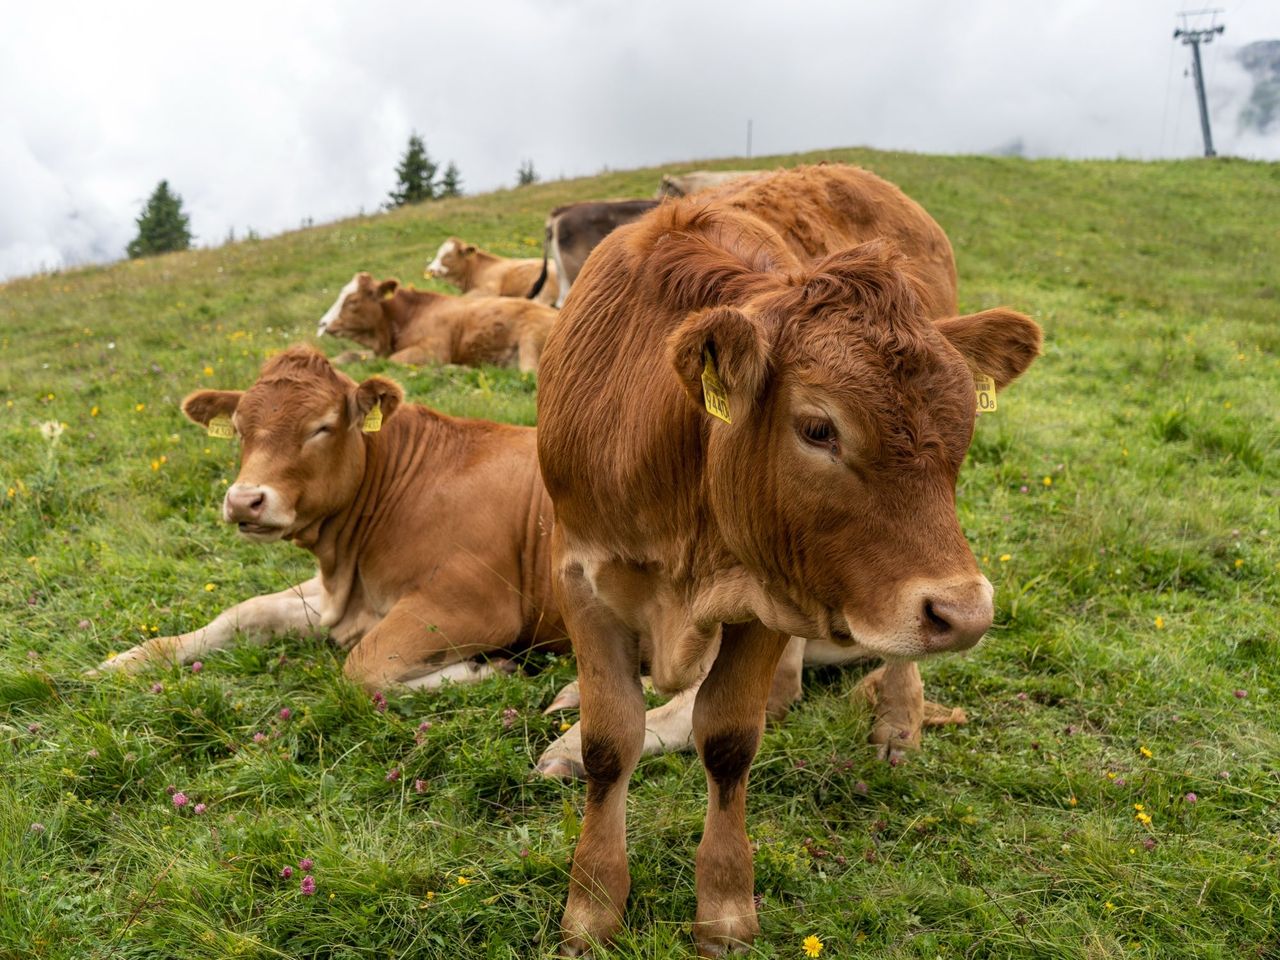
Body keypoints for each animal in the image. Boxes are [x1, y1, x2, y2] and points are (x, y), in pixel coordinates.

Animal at [91, 346, 565, 689]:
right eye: (240, 429)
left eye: (321, 427)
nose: (244, 501)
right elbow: (245, 612)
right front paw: (122, 662)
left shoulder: (472, 603)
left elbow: (362, 669)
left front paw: (485, 668)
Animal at [316, 272, 557, 373]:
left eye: (353, 301)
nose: (322, 323)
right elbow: (349, 355)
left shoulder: (433, 349)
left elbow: (392, 361)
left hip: (530, 337)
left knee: (528, 373)